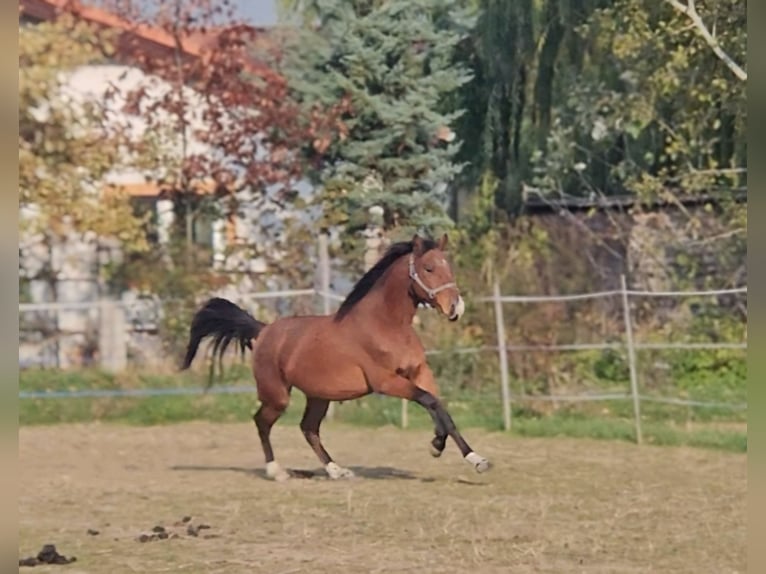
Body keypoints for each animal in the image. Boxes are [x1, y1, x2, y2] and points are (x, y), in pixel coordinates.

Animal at [182, 234, 492, 482]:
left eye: (448, 266)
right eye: (429, 268)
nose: (455, 308)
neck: (387, 324)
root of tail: (264, 329)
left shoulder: (419, 373)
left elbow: (441, 407)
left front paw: (470, 456)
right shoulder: (386, 382)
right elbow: (430, 402)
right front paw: (441, 448)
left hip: (319, 396)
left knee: (308, 428)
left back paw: (336, 470)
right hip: (277, 396)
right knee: (262, 422)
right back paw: (276, 471)